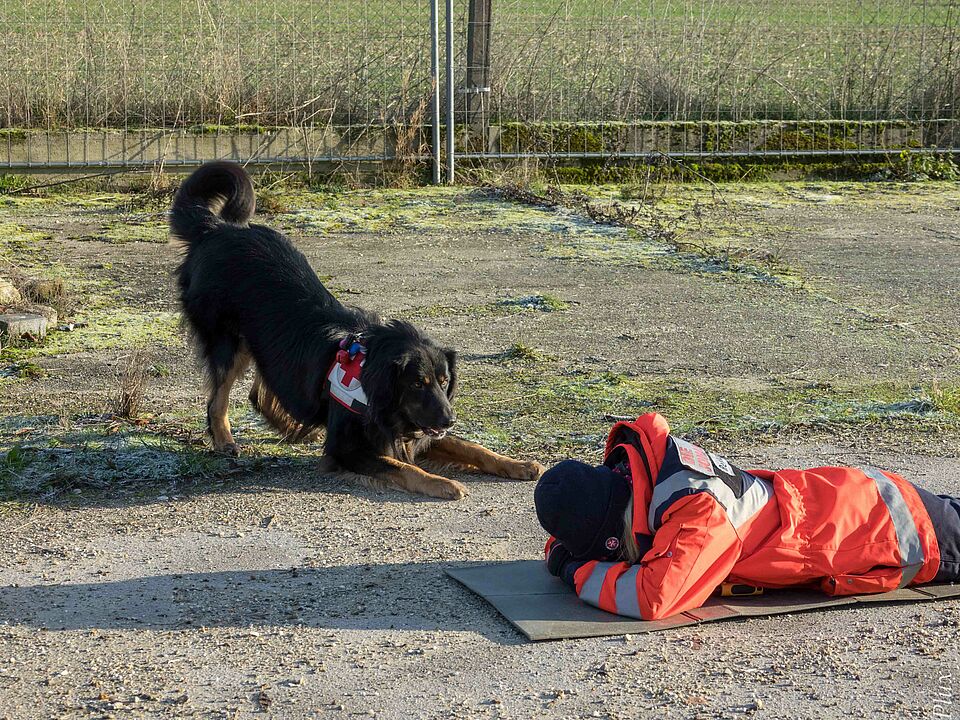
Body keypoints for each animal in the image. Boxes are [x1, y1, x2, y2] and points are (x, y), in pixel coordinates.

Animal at [171, 162, 540, 500]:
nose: (449, 420)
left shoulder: (415, 432)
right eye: (416, 384)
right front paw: (443, 483)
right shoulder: (348, 449)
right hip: (227, 340)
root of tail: (216, 228)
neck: (374, 382)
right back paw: (224, 441)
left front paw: (518, 464)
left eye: (444, 381)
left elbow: (473, 448)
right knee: (217, 399)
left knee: (263, 392)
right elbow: (404, 468)